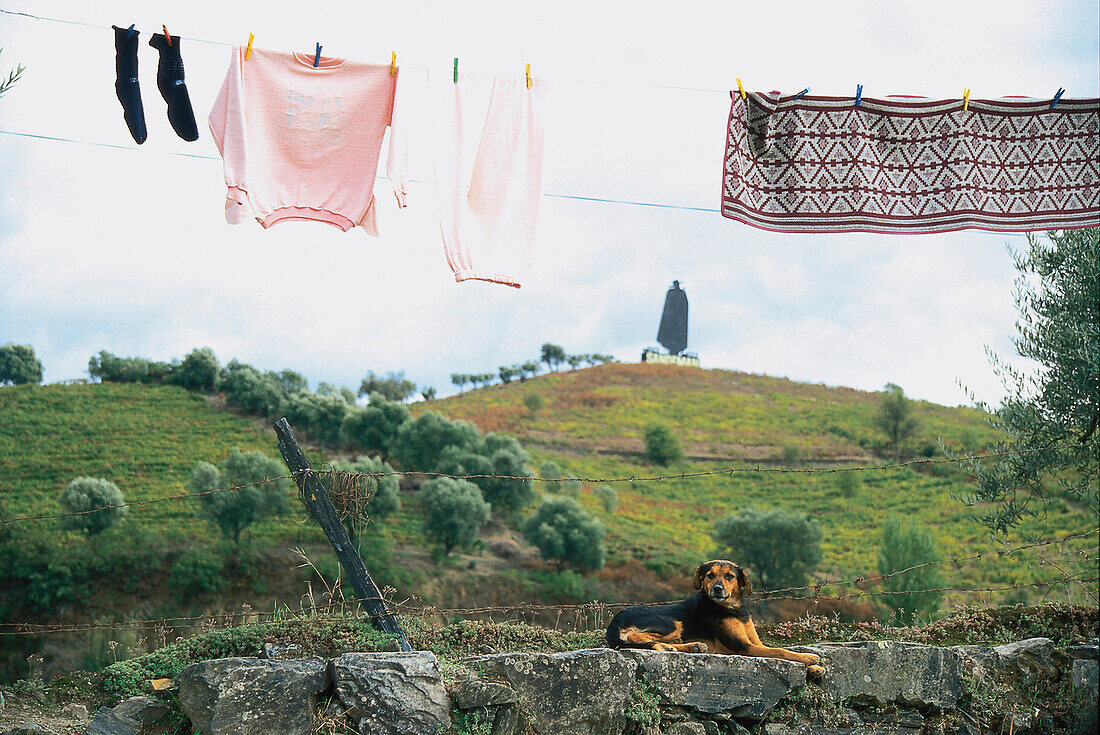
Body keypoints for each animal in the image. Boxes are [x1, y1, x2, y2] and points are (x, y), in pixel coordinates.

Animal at [602, 558, 827, 673]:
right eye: (710, 575)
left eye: (729, 576)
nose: (717, 589)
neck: (732, 609)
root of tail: (615, 621)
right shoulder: (745, 647)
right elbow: (781, 652)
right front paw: (808, 658)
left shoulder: (756, 643)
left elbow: (780, 650)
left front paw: (813, 668)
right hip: (671, 622)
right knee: (637, 637)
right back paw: (671, 647)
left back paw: (691, 647)